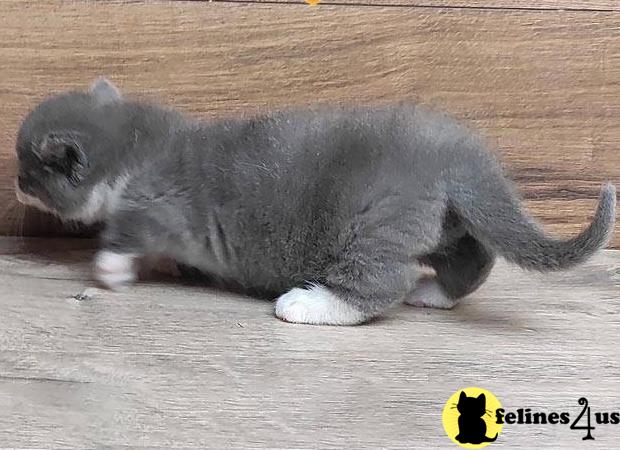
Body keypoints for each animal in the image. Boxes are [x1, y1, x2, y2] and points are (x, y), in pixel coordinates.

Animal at [14, 77, 616, 324]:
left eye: (27, 169)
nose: (16, 184)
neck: (134, 142)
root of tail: (458, 149)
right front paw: (173, 269)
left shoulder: (158, 203)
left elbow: (125, 231)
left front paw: (110, 270)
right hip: (441, 220)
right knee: (472, 256)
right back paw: (437, 294)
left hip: (375, 221)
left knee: (380, 283)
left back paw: (309, 303)